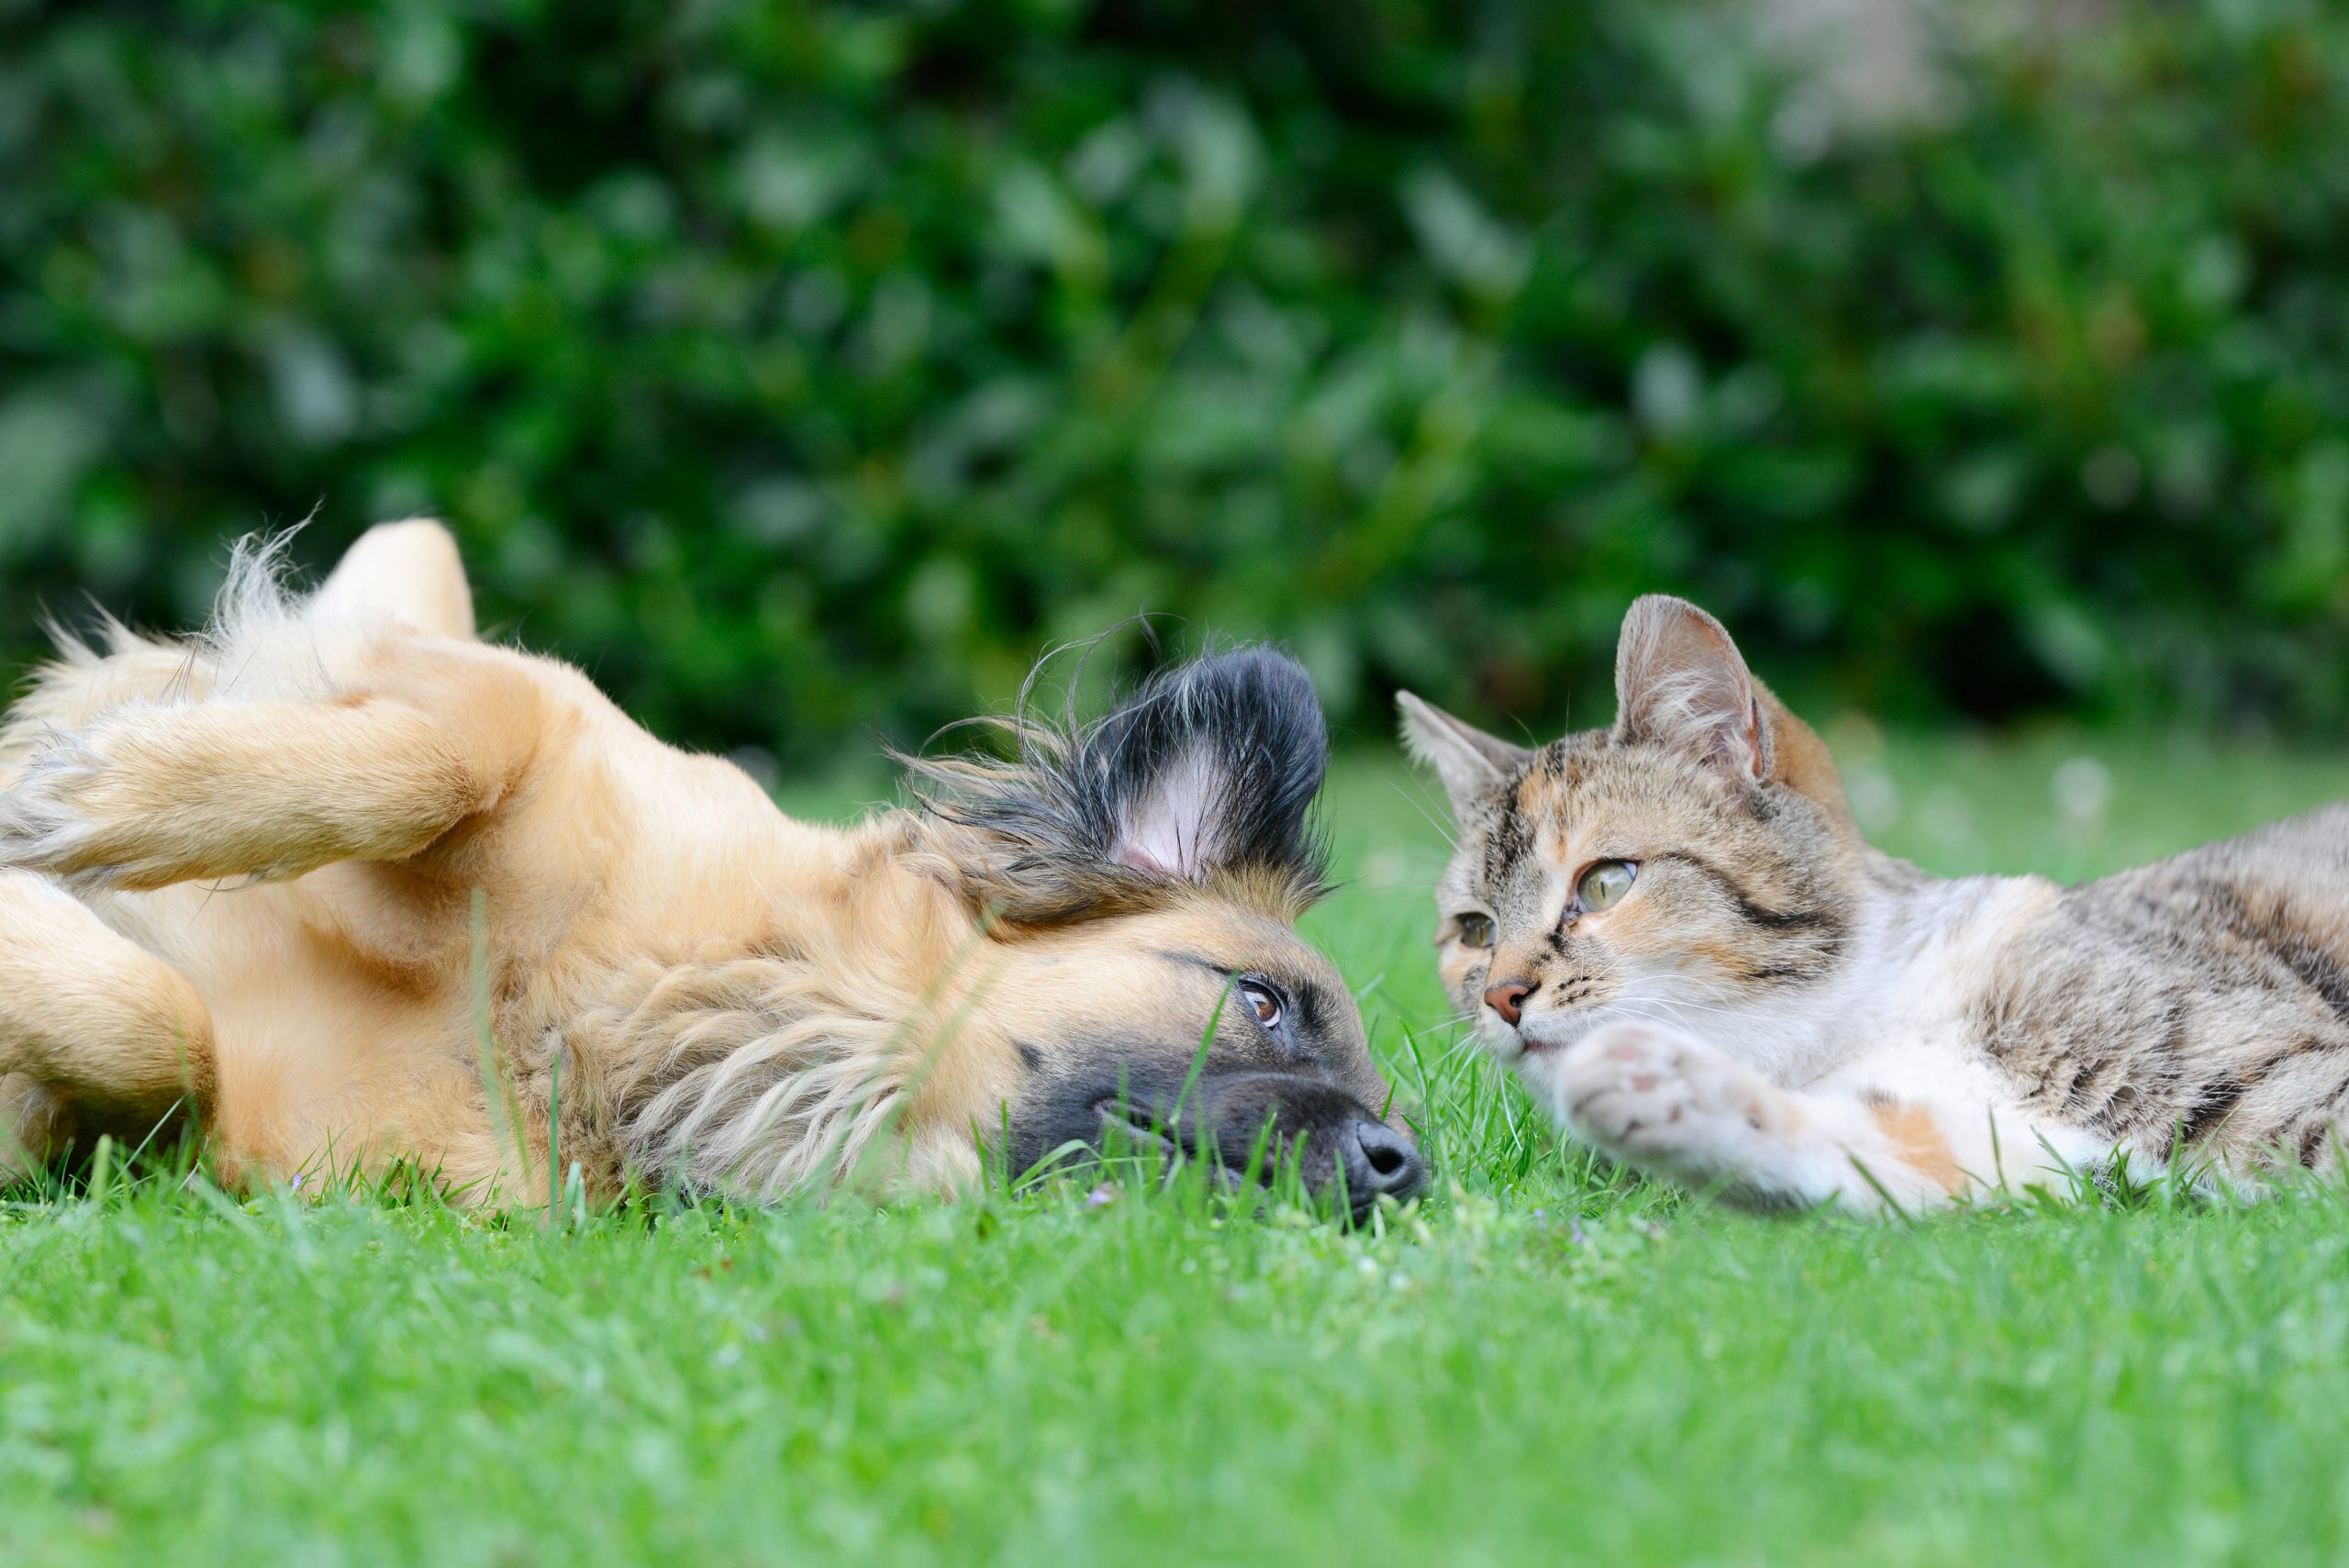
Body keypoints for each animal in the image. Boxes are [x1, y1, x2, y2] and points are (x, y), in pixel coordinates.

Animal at [0, 520, 1428, 1220]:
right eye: (1261, 1002)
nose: (1400, 1166)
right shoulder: (490, 696)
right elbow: (430, 759)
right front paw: (97, 795)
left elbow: (165, 1039)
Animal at [1399, 591, 2339, 1211]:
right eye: (1474, 929)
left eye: (1605, 882)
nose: (1500, 995)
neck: (1862, 1015)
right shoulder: (2015, 1143)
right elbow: (1889, 1148)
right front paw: (1675, 1097)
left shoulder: (2278, 1074)